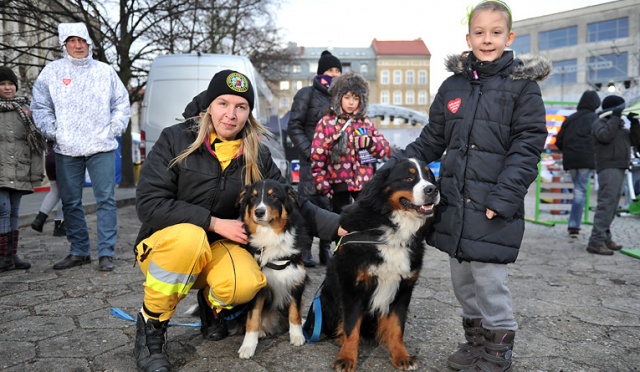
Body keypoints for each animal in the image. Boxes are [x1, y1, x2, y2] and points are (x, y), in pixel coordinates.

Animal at [235, 179, 310, 358]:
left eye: (273, 196)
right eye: (253, 198)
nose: (259, 212)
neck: (270, 235)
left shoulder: (296, 280)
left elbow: (294, 312)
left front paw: (297, 335)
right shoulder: (258, 287)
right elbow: (253, 317)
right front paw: (248, 346)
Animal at [320, 158, 440, 372]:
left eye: (430, 176)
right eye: (408, 177)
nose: (432, 190)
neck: (393, 229)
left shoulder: (403, 287)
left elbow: (397, 326)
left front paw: (401, 355)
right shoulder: (353, 287)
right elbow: (351, 326)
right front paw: (346, 358)